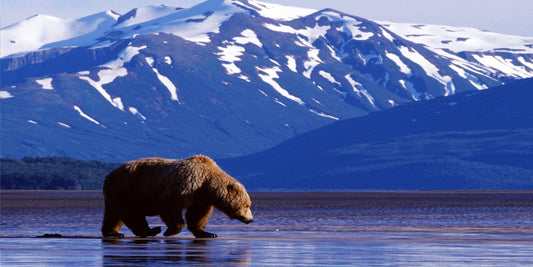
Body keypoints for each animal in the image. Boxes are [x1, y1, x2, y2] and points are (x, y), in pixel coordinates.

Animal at [101, 155, 252, 239]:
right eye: (247, 205)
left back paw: (112, 232)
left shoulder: (200, 198)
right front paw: (170, 231)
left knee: (113, 215)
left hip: (117, 193)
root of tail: (109, 176)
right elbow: (170, 207)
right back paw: (151, 230)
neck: (206, 182)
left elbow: (197, 215)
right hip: (127, 190)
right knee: (131, 213)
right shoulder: (185, 186)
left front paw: (207, 233)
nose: (251, 219)